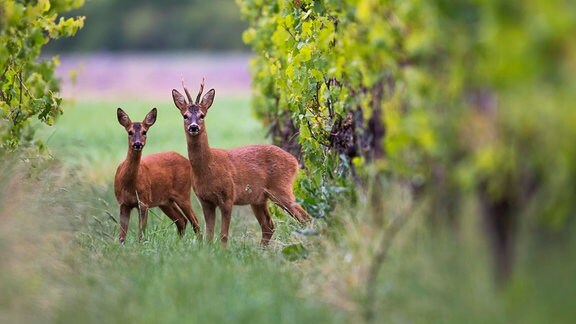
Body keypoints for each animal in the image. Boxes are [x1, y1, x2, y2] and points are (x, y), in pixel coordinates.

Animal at [113, 107, 201, 243]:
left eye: (144, 132)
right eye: (130, 132)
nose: (137, 144)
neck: (129, 184)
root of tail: (187, 160)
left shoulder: (144, 202)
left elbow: (141, 233)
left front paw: (140, 246)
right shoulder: (123, 203)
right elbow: (121, 236)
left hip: (183, 193)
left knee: (194, 221)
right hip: (165, 201)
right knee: (182, 220)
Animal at [171, 79, 310, 246]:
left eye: (202, 115)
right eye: (185, 116)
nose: (193, 127)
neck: (208, 167)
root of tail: (294, 161)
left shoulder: (228, 196)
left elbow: (224, 235)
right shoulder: (205, 201)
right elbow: (209, 236)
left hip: (281, 188)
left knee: (305, 218)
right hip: (259, 199)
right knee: (268, 226)